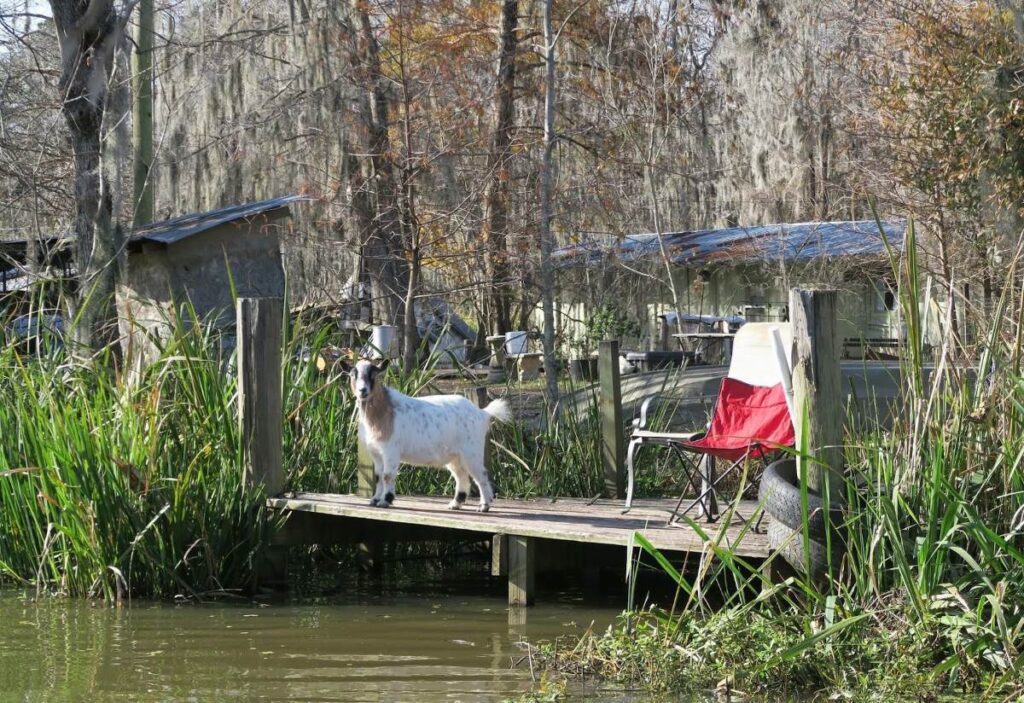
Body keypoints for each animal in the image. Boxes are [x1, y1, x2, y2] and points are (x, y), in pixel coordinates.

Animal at [340, 358, 511, 511]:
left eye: (373, 375)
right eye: (353, 375)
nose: (363, 390)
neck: (384, 410)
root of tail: (482, 413)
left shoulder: (391, 450)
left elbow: (387, 475)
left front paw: (385, 501)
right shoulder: (375, 452)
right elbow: (378, 476)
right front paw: (375, 500)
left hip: (472, 451)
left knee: (480, 475)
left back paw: (484, 505)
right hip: (454, 455)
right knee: (461, 476)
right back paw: (455, 504)